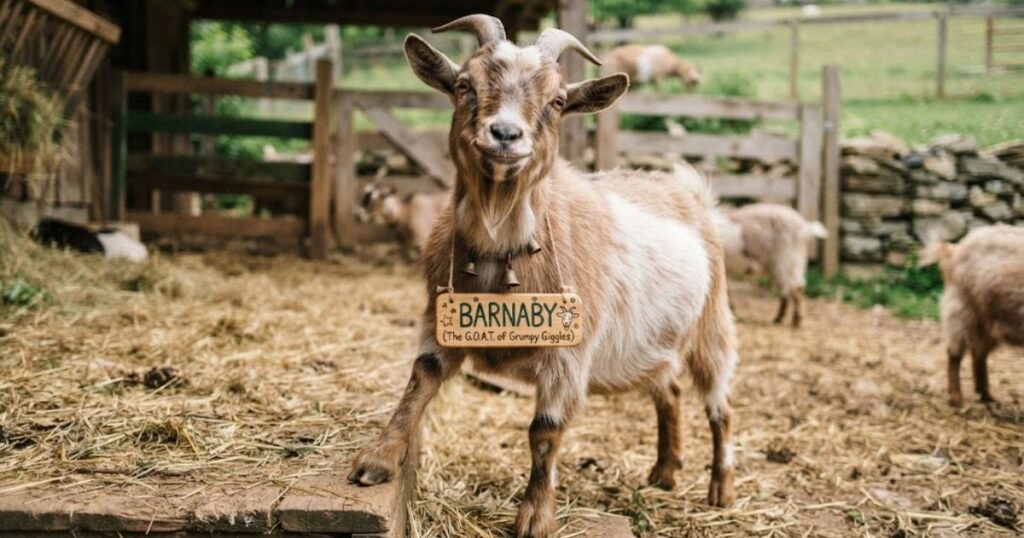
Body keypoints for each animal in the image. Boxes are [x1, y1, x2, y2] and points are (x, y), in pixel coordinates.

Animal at [347, 15, 739, 537]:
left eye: (556, 101)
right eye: (464, 85)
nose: (505, 134)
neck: (503, 251)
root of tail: (688, 190)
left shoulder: (567, 353)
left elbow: (545, 431)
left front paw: (534, 515)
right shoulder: (439, 319)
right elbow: (420, 380)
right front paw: (378, 458)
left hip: (711, 324)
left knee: (719, 406)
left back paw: (720, 489)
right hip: (651, 341)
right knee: (669, 390)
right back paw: (664, 472)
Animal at [922, 224, 1024, 407]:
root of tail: (955, 249)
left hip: (987, 322)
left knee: (978, 354)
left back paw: (986, 395)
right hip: (963, 311)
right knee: (955, 354)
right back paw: (956, 398)